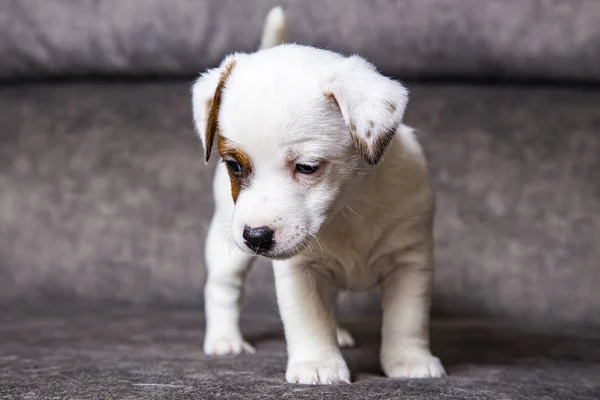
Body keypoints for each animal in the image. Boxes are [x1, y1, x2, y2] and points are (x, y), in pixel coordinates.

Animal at [192, 7, 446, 384]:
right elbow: (309, 318)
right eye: (234, 166)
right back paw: (225, 340)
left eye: (307, 167)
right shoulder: (300, 271)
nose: (256, 237)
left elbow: (407, 319)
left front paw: (409, 361)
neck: (349, 208)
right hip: (227, 243)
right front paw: (319, 363)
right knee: (223, 288)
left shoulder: (410, 261)